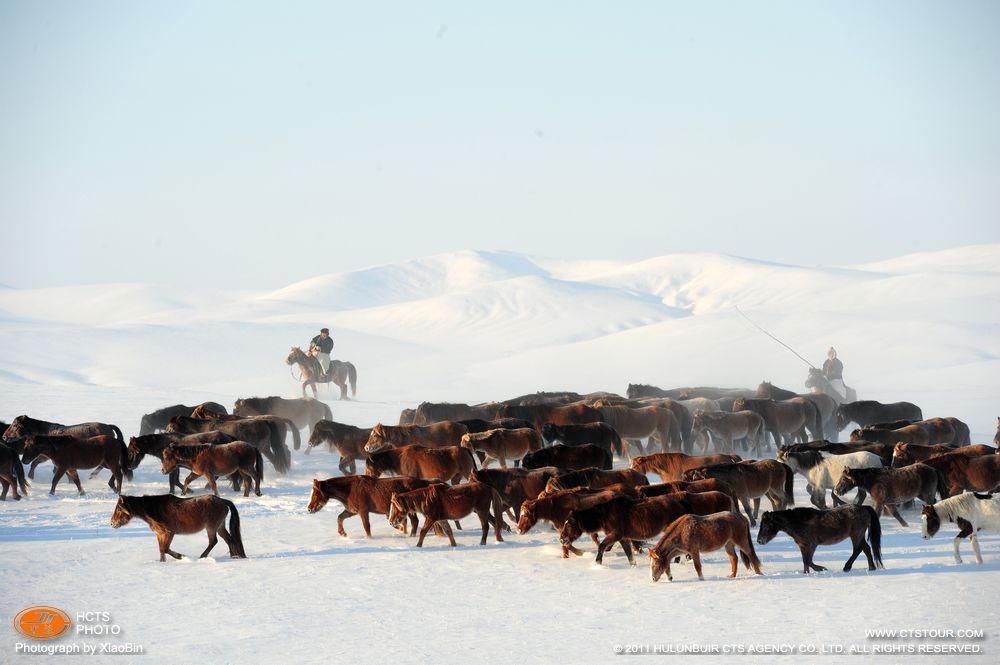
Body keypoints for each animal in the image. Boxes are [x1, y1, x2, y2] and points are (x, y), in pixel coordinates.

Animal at [110, 492, 245, 560]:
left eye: (119, 509)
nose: (112, 523)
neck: (153, 509)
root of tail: (223, 501)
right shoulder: (160, 534)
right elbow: (161, 550)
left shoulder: (169, 532)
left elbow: (165, 549)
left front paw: (180, 556)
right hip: (220, 527)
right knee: (230, 540)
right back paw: (235, 556)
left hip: (211, 527)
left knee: (213, 541)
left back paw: (203, 556)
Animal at [304, 474, 438, 536]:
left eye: (316, 493)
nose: (309, 509)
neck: (349, 489)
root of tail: (424, 482)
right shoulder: (352, 511)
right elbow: (340, 518)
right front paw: (342, 533)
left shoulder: (363, 512)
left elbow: (366, 527)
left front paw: (369, 539)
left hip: (411, 510)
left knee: (415, 522)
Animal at [756, 506, 884, 572]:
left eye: (765, 525)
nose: (759, 541)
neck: (798, 521)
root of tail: (863, 507)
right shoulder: (802, 546)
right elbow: (805, 561)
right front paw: (806, 573)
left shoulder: (811, 544)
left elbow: (808, 561)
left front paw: (821, 568)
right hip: (859, 536)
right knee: (866, 549)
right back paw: (871, 567)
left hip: (856, 535)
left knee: (858, 550)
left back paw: (847, 567)